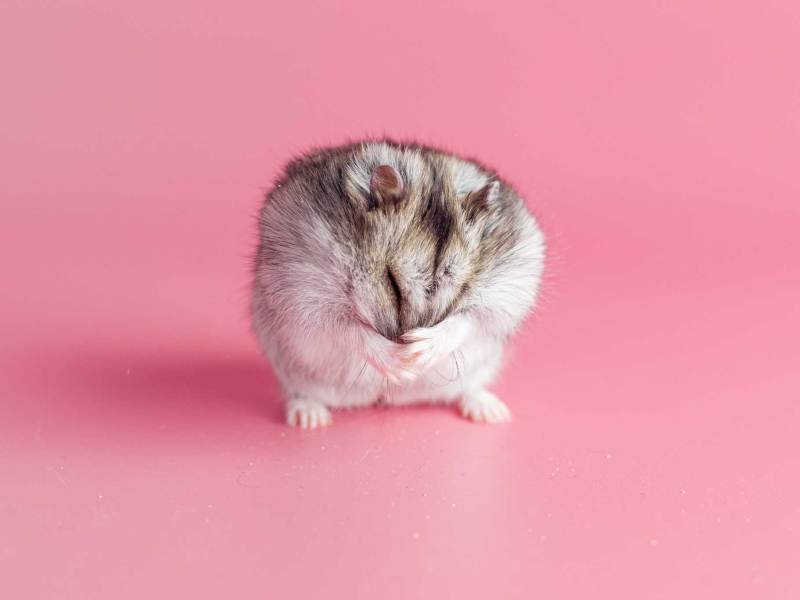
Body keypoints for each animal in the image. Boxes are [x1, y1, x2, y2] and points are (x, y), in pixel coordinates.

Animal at [253, 141, 548, 428]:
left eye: (463, 288)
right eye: (390, 281)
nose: (409, 373)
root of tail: (388, 399)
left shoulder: (510, 289)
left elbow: (469, 319)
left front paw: (418, 351)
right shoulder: (305, 293)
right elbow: (348, 329)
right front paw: (400, 362)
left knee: (468, 389)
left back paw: (492, 412)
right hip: (295, 372)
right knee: (301, 393)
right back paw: (311, 419)